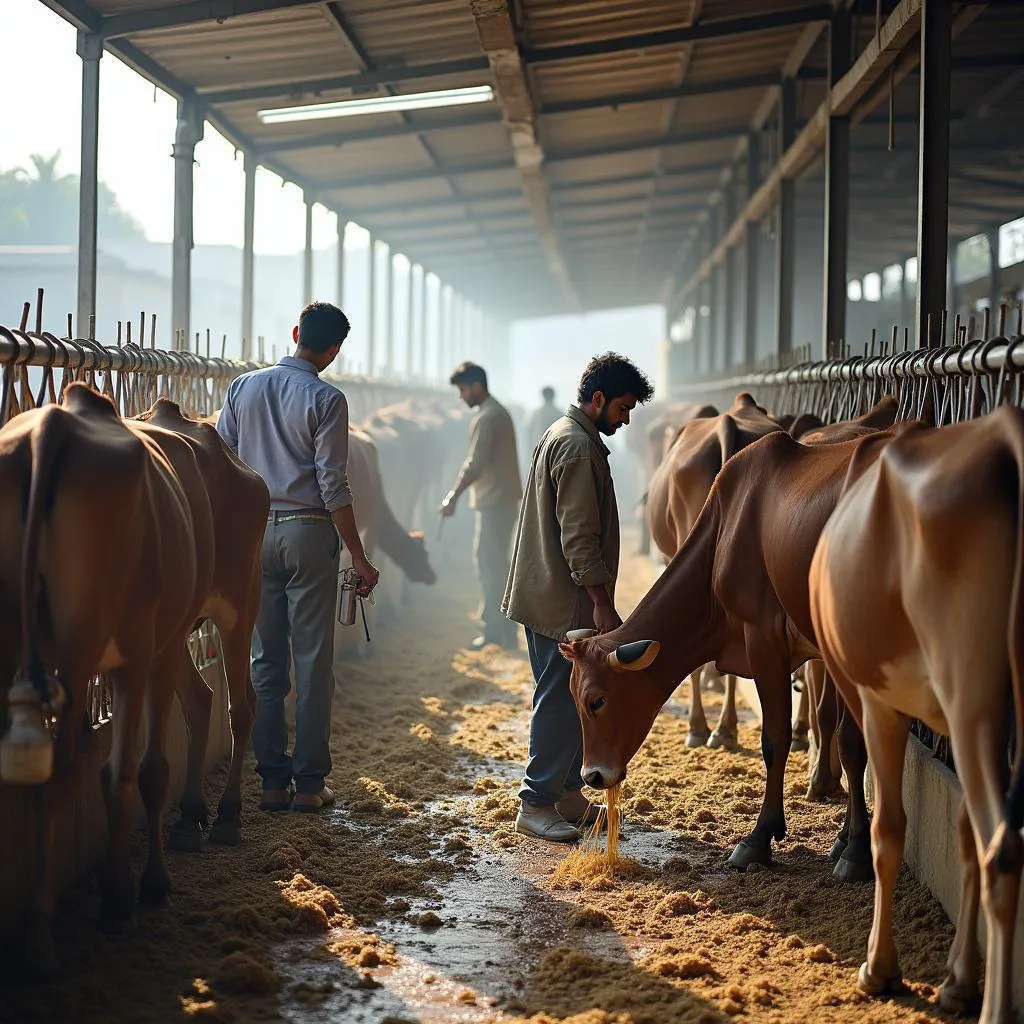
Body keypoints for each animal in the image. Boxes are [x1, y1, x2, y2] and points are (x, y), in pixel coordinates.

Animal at [0, 385, 260, 974]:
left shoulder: (141, 651)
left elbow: (138, 769)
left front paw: (135, 892)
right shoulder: (150, 644)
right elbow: (129, 769)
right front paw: (129, 888)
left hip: (238, 597)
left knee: (239, 706)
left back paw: (228, 816)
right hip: (168, 625)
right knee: (204, 700)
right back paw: (193, 818)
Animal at [811, 409, 1019, 1024]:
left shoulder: (877, 699)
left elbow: (889, 826)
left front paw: (879, 968)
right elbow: (960, 831)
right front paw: (957, 979)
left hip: (971, 691)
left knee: (1003, 850)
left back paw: (996, 1009)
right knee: (990, 838)